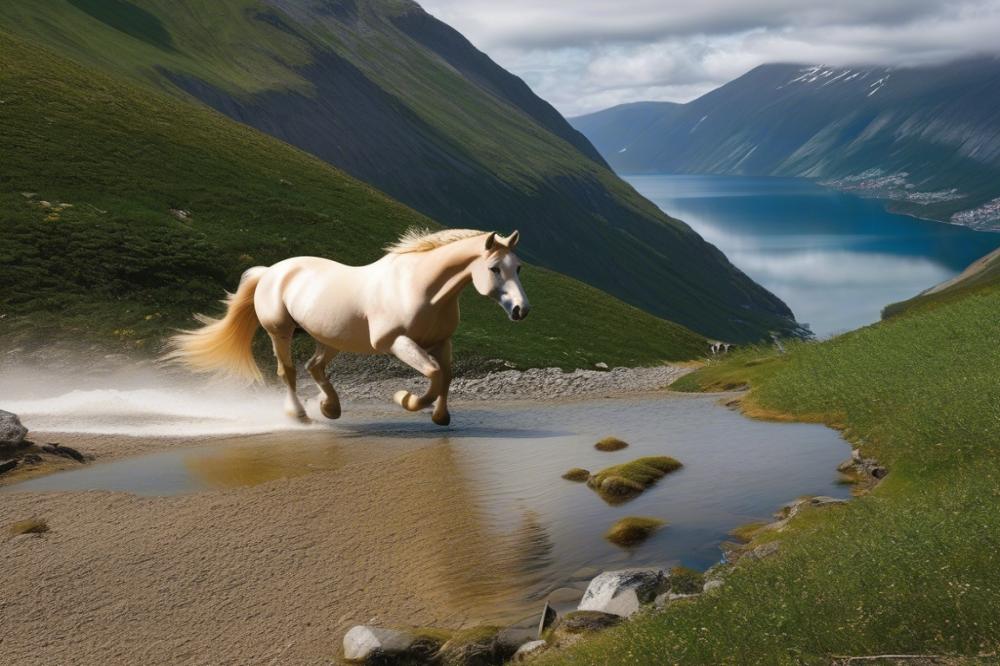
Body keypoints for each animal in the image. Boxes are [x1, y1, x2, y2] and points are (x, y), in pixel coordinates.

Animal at [166, 229, 530, 426]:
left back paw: (331, 409)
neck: (419, 286)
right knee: (289, 372)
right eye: (495, 268)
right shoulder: (395, 342)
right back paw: (300, 415)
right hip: (279, 332)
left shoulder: (442, 341)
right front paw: (405, 399)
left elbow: (446, 376)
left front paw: (440, 417)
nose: (521, 310)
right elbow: (434, 374)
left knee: (314, 367)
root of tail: (270, 271)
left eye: (518, 267)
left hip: (329, 338)